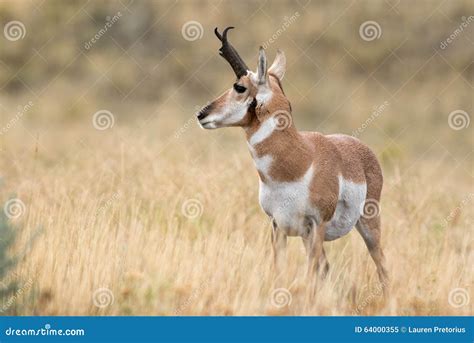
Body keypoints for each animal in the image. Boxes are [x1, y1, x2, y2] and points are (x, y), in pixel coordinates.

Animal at [198, 26, 386, 288]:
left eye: (239, 86)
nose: (201, 114)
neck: (298, 163)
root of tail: (359, 146)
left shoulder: (316, 226)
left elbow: (310, 276)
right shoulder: (277, 226)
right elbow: (280, 270)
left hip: (368, 227)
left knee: (382, 269)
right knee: (327, 269)